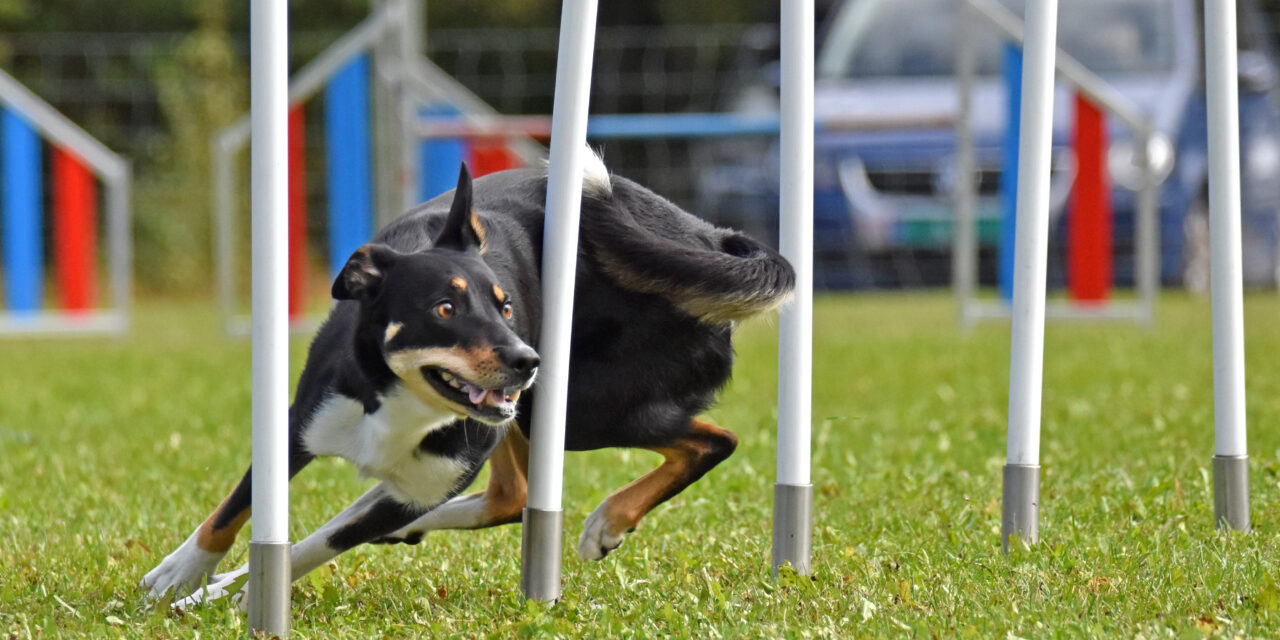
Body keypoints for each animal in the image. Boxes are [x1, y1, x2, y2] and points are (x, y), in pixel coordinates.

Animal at [145, 149, 793, 604]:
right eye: (444, 309)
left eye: (505, 306)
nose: (528, 359)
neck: (401, 400)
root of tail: (704, 235)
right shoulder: (304, 424)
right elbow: (234, 508)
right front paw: (184, 573)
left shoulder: (440, 466)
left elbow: (319, 542)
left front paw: (242, 590)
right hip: (534, 415)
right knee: (512, 495)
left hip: (578, 408)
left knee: (713, 441)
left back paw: (607, 521)